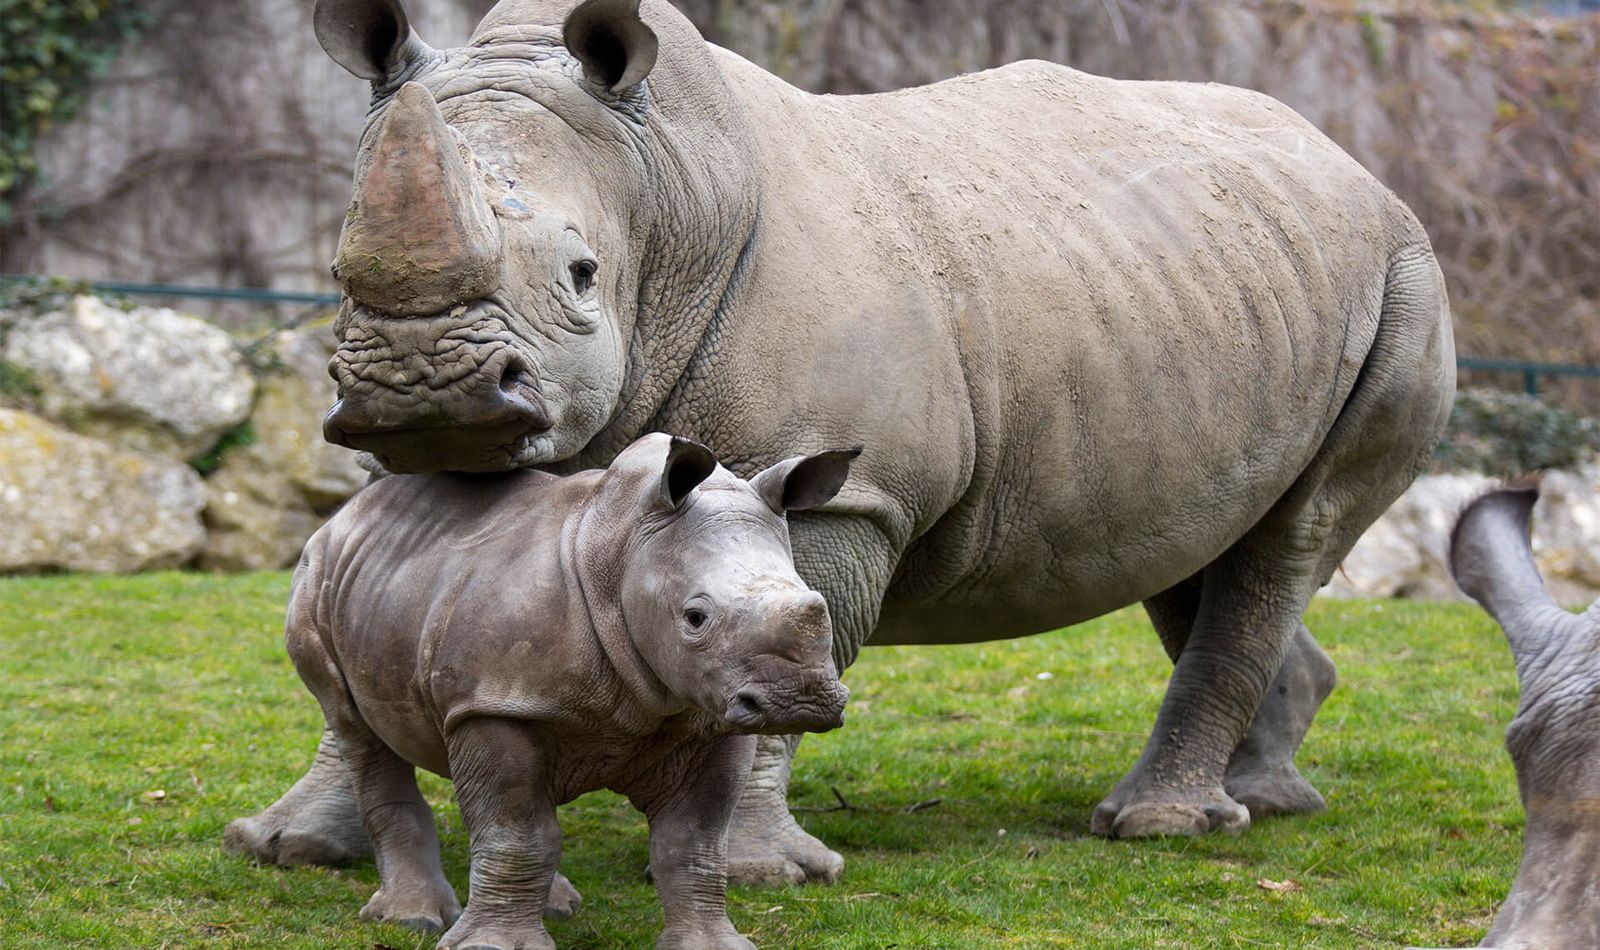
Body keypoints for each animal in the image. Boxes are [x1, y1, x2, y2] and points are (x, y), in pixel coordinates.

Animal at [281, 431, 857, 946]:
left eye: (817, 599)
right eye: (695, 618)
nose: (800, 700)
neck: (624, 553)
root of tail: (346, 513)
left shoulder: (710, 715)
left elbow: (693, 844)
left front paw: (712, 946)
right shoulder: (495, 703)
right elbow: (517, 834)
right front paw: (493, 947)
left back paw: (556, 907)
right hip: (315, 581)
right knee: (358, 731)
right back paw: (413, 919)